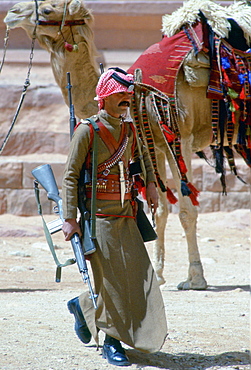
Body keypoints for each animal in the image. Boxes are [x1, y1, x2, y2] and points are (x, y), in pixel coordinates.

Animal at [3, 0, 251, 290]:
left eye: (47, 10)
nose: (11, 13)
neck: (137, 94)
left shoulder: (181, 139)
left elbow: (186, 210)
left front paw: (195, 278)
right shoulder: (154, 144)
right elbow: (161, 209)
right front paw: (159, 274)